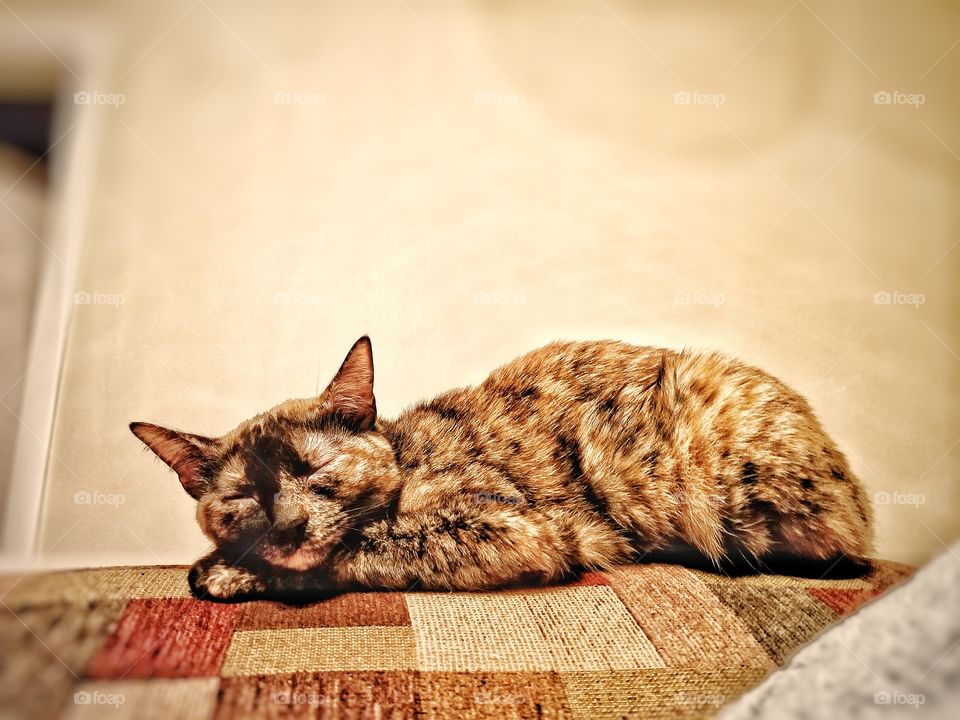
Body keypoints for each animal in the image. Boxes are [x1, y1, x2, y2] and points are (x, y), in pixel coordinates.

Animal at [131, 338, 872, 600]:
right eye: (241, 498)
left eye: (317, 468)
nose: (285, 526)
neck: (408, 460)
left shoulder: (511, 530)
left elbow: (362, 547)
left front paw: (226, 572)